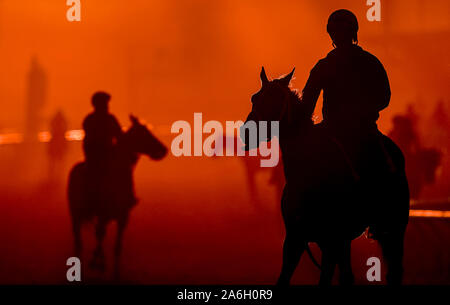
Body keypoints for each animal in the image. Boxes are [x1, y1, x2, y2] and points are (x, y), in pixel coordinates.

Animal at [68, 114, 169, 278]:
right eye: (144, 133)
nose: (164, 150)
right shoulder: (103, 215)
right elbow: (100, 235)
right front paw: (98, 262)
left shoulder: (123, 217)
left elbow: (117, 245)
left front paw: (112, 269)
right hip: (75, 213)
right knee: (79, 239)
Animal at [243, 67, 412, 284]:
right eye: (254, 98)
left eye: (276, 101)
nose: (246, 135)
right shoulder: (295, 239)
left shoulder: (330, 242)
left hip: (393, 228)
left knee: (394, 271)